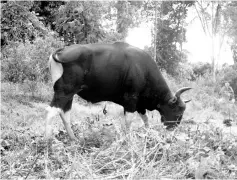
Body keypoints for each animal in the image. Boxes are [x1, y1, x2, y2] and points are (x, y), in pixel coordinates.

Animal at [45, 42, 192, 141]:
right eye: (178, 110)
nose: (173, 129)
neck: (144, 70)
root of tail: (61, 51)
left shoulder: (140, 104)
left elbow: (145, 119)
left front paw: (148, 133)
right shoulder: (131, 101)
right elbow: (129, 121)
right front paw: (128, 138)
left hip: (69, 94)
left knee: (64, 113)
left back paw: (74, 139)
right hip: (64, 92)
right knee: (53, 111)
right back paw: (47, 140)